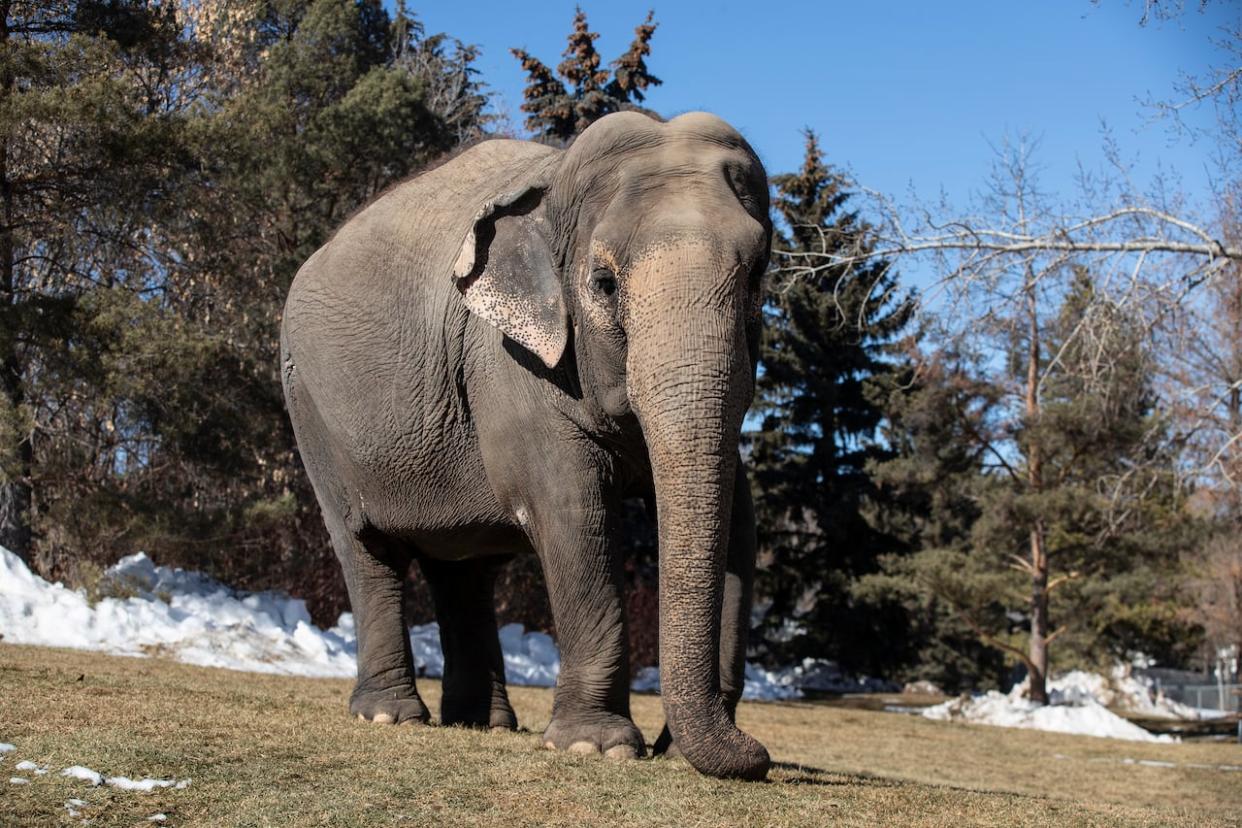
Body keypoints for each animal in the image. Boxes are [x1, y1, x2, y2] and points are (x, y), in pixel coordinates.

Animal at [279, 111, 775, 784]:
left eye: (758, 275)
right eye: (604, 283)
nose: (761, 754)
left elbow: (742, 526)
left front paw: (674, 749)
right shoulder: (509, 365)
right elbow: (572, 516)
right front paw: (597, 747)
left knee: (461, 568)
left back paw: (480, 723)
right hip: (311, 411)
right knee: (366, 548)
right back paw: (388, 717)